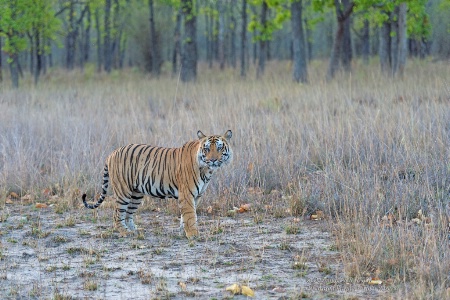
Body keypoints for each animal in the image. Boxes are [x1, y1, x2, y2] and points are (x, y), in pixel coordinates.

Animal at [82, 130, 234, 238]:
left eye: (219, 148)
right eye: (207, 149)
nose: (213, 160)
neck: (207, 170)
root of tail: (112, 153)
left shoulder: (196, 196)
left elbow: (186, 216)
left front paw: (182, 232)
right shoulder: (187, 195)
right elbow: (190, 215)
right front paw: (193, 234)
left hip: (136, 194)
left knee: (128, 214)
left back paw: (136, 231)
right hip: (123, 191)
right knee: (117, 214)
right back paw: (125, 232)